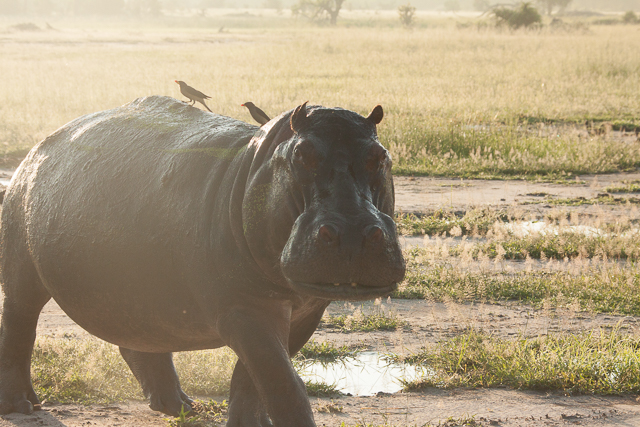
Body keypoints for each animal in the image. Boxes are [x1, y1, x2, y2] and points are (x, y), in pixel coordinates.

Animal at [0, 95, 404, 426]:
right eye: (301, 155)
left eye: (381, 156)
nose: (352, 232)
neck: (256, 166)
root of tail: (39, 145)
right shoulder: (244, 309)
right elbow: (283, 383)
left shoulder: (305, 312)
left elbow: (251, 379)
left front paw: (247, 424)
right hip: (23, 272)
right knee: (19, 324)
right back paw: (22, 405)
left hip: (138, 287)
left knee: (142, 339)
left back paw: (179, 406)